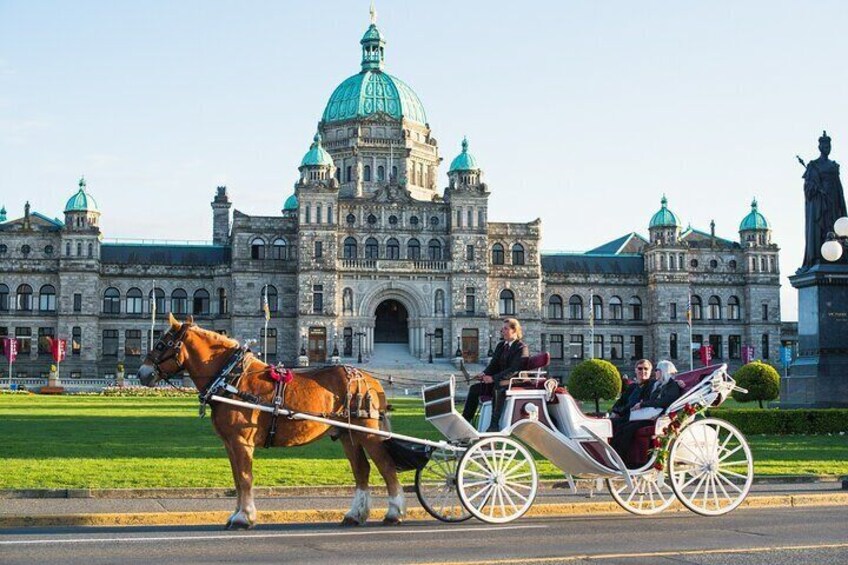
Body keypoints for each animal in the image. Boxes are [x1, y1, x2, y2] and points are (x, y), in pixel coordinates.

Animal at [137, 316, 408, 528]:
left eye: (161, 343)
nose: (142, 373)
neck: (230, 377)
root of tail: (370, 379)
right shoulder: (230, 443)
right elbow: (237, 479)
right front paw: (236, 514)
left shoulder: (241, 441)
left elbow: (245, 477)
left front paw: (244, 518)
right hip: (347, 435)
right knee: (361, 470)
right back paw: (354, 515)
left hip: (368, 433)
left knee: (386, 466)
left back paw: (394, 513)